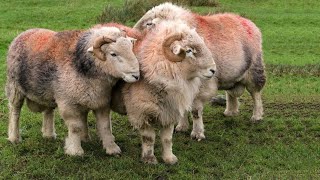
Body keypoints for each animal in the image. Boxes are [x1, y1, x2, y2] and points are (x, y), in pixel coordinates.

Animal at [6, 25, 140, 156]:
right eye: (113, 54)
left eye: (131, 49)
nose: (136, 76)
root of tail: (26, 32)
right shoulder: (68, 103)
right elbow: (75, 127)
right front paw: (75, 151)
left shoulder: (101, 101)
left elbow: (105, 126)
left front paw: (111, 148)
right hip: (14, 87)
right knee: (15, 111)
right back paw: (14, 137)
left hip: (48, 91)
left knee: (48, 111)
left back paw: (49, 135)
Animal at [109, 20, 216, 164]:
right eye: (189, 50)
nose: (213, 70)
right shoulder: (141, 112)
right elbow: (149, 138)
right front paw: (149, 159)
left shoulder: (169, 111)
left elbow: (167, 139)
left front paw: (169, 159)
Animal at [134, 3, 266, 141]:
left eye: (150, 24)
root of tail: (248, 22)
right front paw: (182, 127)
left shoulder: (201, 86)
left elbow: (195, 111)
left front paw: (197, 133)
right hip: (230, 74)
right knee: (231, 93)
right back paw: (230, 112)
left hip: (255, 70)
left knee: (256, 94)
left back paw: (256, 116)